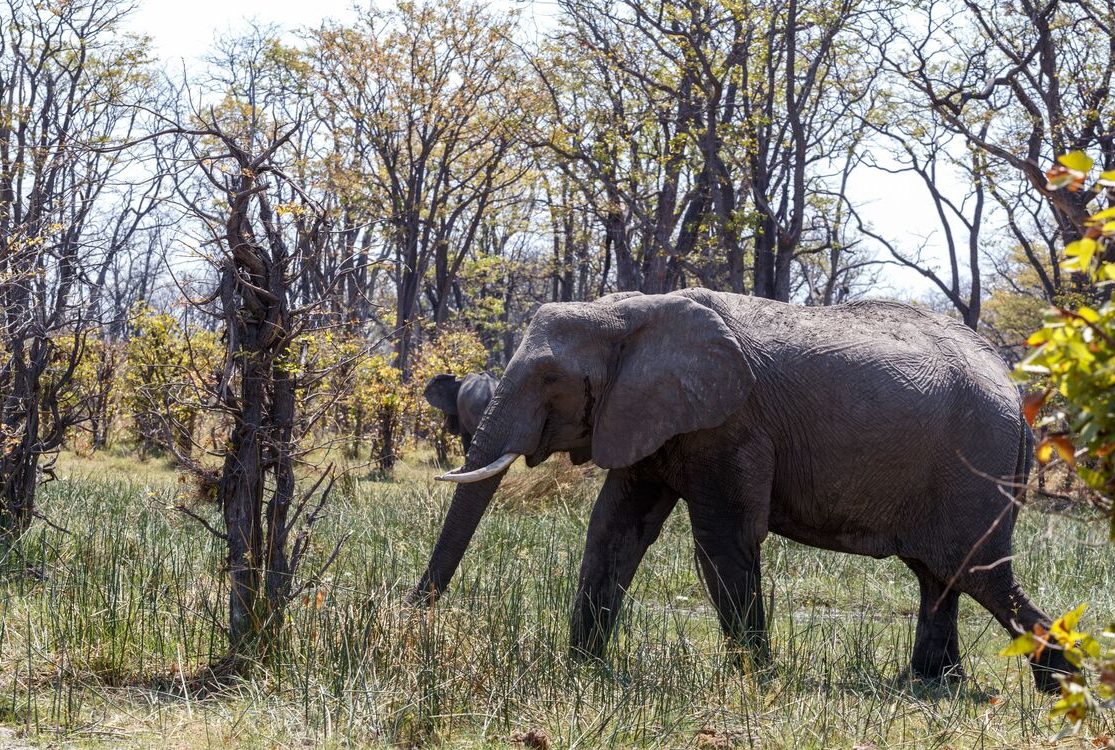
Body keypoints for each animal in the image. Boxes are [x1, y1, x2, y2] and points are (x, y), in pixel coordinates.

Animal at [410, 288, 1075, 693]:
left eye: (551, 379)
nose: (414, 620)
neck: (633, 310)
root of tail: (1016, 392)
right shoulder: (647, 415)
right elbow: (615, 531)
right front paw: (583, 670)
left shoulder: (731, 424)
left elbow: (723, 539)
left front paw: (755, 680)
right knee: (941, 576)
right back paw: (935, 685)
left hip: (975, 464)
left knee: (977, 572)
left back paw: (1056, 682)